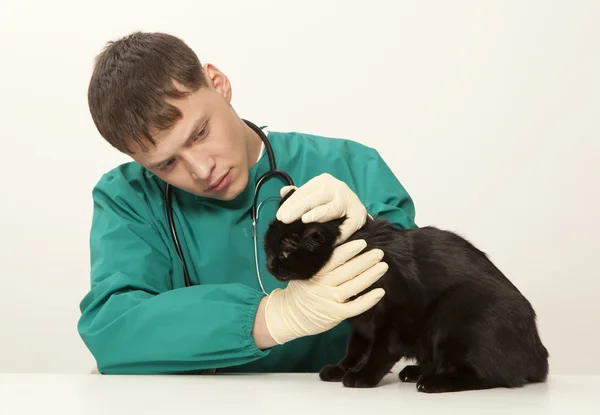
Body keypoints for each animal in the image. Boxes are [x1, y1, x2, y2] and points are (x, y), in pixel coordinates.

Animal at [262, 190, 548, 394]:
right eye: (267, 246)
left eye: (285, 252)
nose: (269, 264)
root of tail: (538, 355)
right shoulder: (362, 320)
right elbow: (355, 347)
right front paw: (342, 369)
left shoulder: (397, 315)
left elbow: (380, 350)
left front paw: (363, 376)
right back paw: (417, 372)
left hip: (453, 313)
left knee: (485, 375)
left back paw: (434, 381)